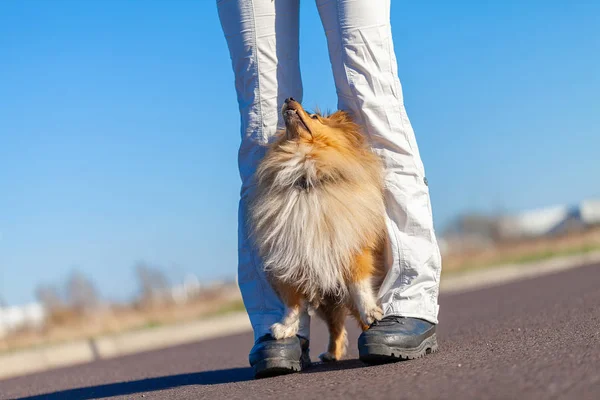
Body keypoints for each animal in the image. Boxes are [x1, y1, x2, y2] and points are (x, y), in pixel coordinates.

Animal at [250, 97, 386, 362]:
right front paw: (284, 329)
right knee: (336, 326)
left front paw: (372, 312)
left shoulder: (352, 250)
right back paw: (331, 354)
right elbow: (292, 304)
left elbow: (360, 286)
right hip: (327, 301)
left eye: (314, 117)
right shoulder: (290, 260)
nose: (288, 98)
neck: (306, 180)